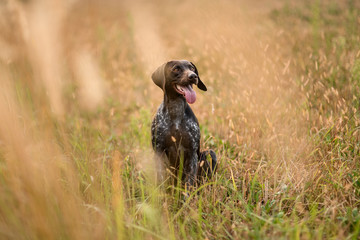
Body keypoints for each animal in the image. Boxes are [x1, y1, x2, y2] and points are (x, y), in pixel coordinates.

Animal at [151, 59, 218, 189]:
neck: (176, 109)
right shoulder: (159, 152)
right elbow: (161, 181)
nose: (193, 76)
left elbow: (189, 184)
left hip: (204, 157)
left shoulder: (192, 154)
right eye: (176, 69)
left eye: (191, 68)